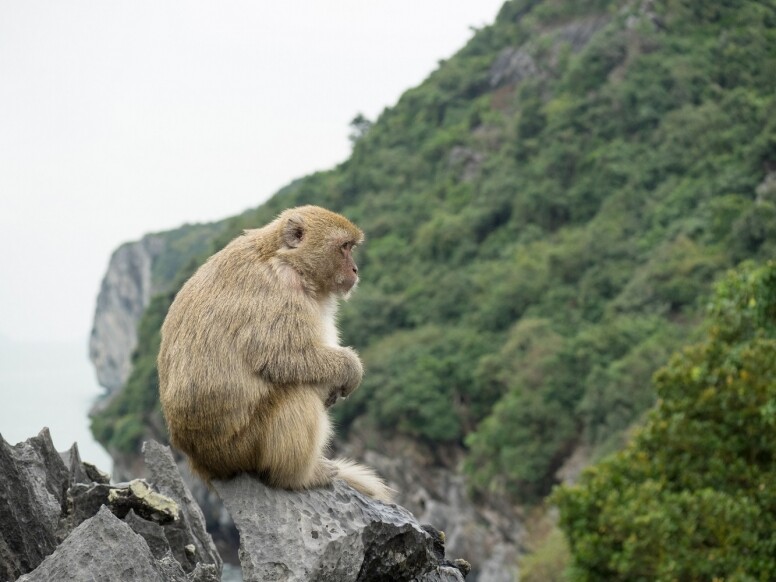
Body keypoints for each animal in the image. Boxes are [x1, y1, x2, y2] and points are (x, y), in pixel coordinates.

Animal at [155, 208, 394, 504]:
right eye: (344, 247)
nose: (355, 270)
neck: (284, 257)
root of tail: (204, 466)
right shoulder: (280, 289)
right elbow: (282, 359)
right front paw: (350, 368)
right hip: (242, 449)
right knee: (298, 394)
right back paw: (297, 477)